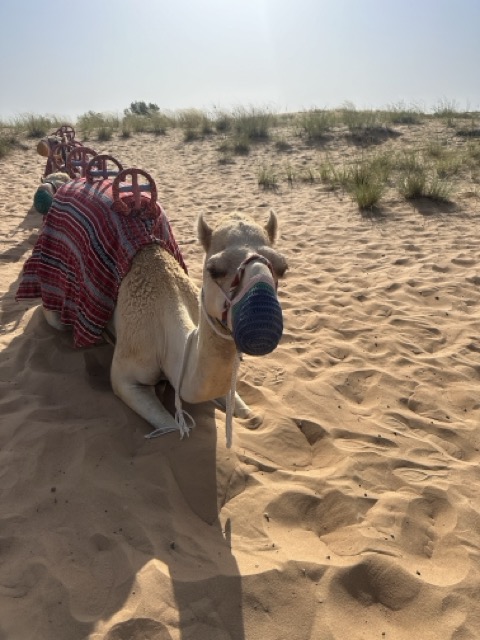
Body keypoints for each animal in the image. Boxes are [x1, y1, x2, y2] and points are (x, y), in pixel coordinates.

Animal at [17, 163, 288, 441]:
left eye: (282, 267)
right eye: (214, 269)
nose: (262, 322)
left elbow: (249, 414)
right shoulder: (126, 375)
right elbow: (170, 427)